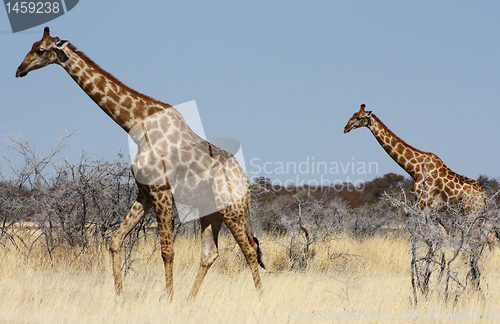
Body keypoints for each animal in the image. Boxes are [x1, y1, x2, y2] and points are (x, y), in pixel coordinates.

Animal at [15, 26, 266, 300]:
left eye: (40, 50)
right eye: (30, 46)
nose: (19, 70)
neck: (136, 126)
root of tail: (246, 183)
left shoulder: (161, 190)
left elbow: (167, 250)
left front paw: (168, 300)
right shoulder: (144, 192)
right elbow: (115, 240)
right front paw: (119, 296)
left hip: (232, 208)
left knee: (249, 249)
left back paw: (259, 300)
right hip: (210, 211)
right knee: (211, 253)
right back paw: (189, 301)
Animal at [344, 104, 484, 215]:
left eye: (359, 117)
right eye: (353, 114)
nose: (345, 128)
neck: (416, 168)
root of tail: (484, 197)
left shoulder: (423, 203)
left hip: (471, 212)